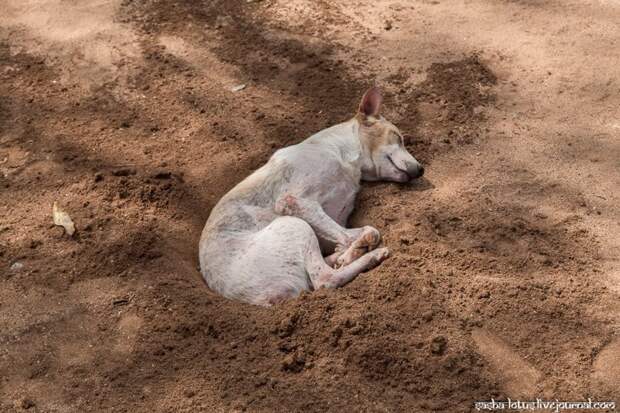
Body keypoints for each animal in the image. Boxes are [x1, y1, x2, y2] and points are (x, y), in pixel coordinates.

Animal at [201, 88, 424, 304]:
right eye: (398, 137)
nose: (422, 170)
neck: (343, 155)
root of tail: (262, 300)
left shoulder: (329, 219)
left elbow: (363, 231)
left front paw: (348, 250)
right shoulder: (293, 201)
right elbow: (354, 235)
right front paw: (354, 250)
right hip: (293, 225)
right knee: (326, 280)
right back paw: (370, 255)